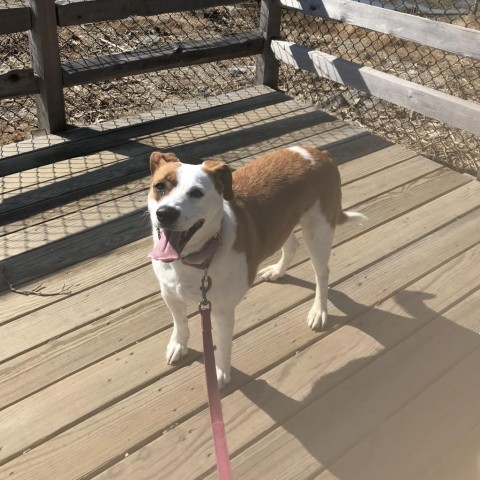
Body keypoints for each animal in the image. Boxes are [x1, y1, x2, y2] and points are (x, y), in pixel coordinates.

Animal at [148, 145, 366, 386]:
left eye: (196, 193)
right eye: (159, 186)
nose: (165, 213)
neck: (194, 260)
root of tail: (318, 152)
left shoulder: (222, 311)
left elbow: (222, 344)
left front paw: (220, 372)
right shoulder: (170, 295)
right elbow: (180, 324)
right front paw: (178, 345)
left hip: (318, 231)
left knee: (322, 273)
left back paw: (319, 311)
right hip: (283, 223)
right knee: (291, 246)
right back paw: (277, 271)